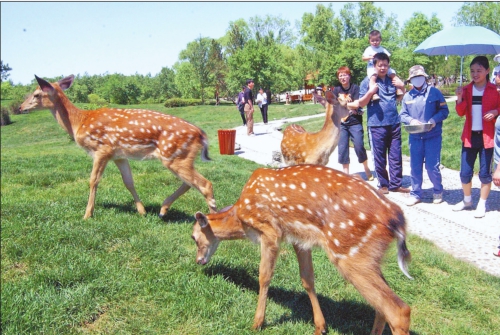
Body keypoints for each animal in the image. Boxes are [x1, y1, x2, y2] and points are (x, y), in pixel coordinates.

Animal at [20, 75, 217, 219]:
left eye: (36, 94)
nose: (21, 107)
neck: (79, 122)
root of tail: (201, 134)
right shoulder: (119, 155)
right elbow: (129, 182)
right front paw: (142, 211)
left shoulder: (102, 149)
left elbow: (93, 181)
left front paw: (87, 214)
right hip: (179, 157)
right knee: (190, 183)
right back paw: (163, 209)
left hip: (173, 155)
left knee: (205, 184)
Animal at [189, 165, 412, 335]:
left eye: (193, 237)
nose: (199, 261)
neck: (241, 217)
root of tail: (397, 218)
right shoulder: (299, 240)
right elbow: (307, 279)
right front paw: (320, 327)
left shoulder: (270, 231)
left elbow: (264, 276)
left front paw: (257, 323)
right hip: (370, 256)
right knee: (382, 304)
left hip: (349, 253)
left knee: (399, 310)